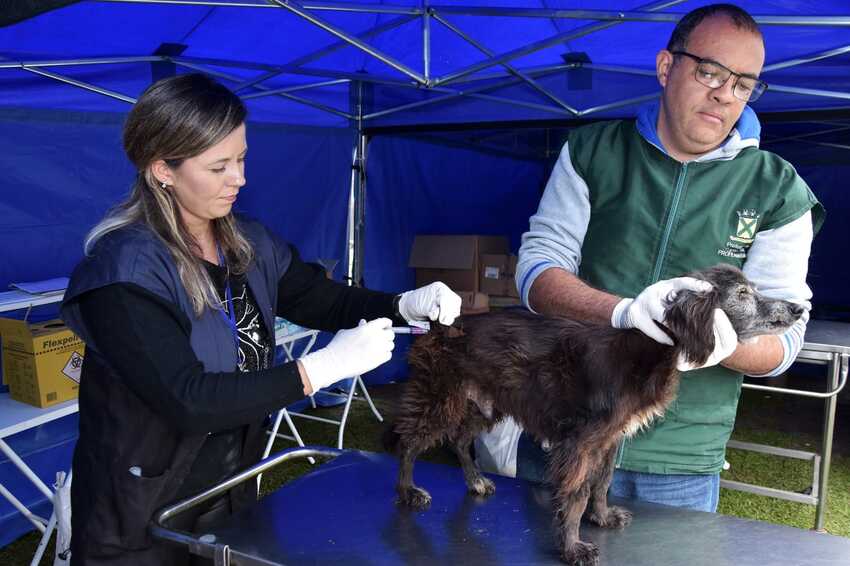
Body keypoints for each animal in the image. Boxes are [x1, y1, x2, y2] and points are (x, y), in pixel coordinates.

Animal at [388, 268, 804, 566]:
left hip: (485, 404)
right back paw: (408, 491)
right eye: (743, 294)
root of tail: (442, 326)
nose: (799, 309)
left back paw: (475, 481)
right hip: (440, 398)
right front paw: (573, 548)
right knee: (408, 442)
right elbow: (577, 494)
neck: (650, 348)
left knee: (459, 441)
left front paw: (601, 519)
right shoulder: (580, 443)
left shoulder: (610, 438)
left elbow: (602, 484)